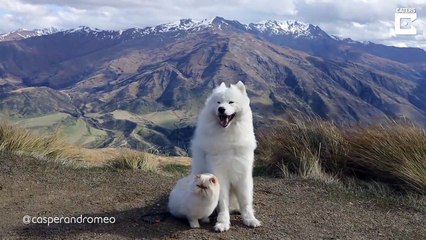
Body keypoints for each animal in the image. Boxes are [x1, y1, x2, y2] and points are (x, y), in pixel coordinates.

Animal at [191, 81, 260, 232]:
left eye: (230, 102)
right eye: (218, 102)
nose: (221, 109)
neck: (229, 138)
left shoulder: (243, 173)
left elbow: (245, 201)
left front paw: (249, 219)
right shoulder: (219, 174)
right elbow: (222, 203)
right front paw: (223, 222)